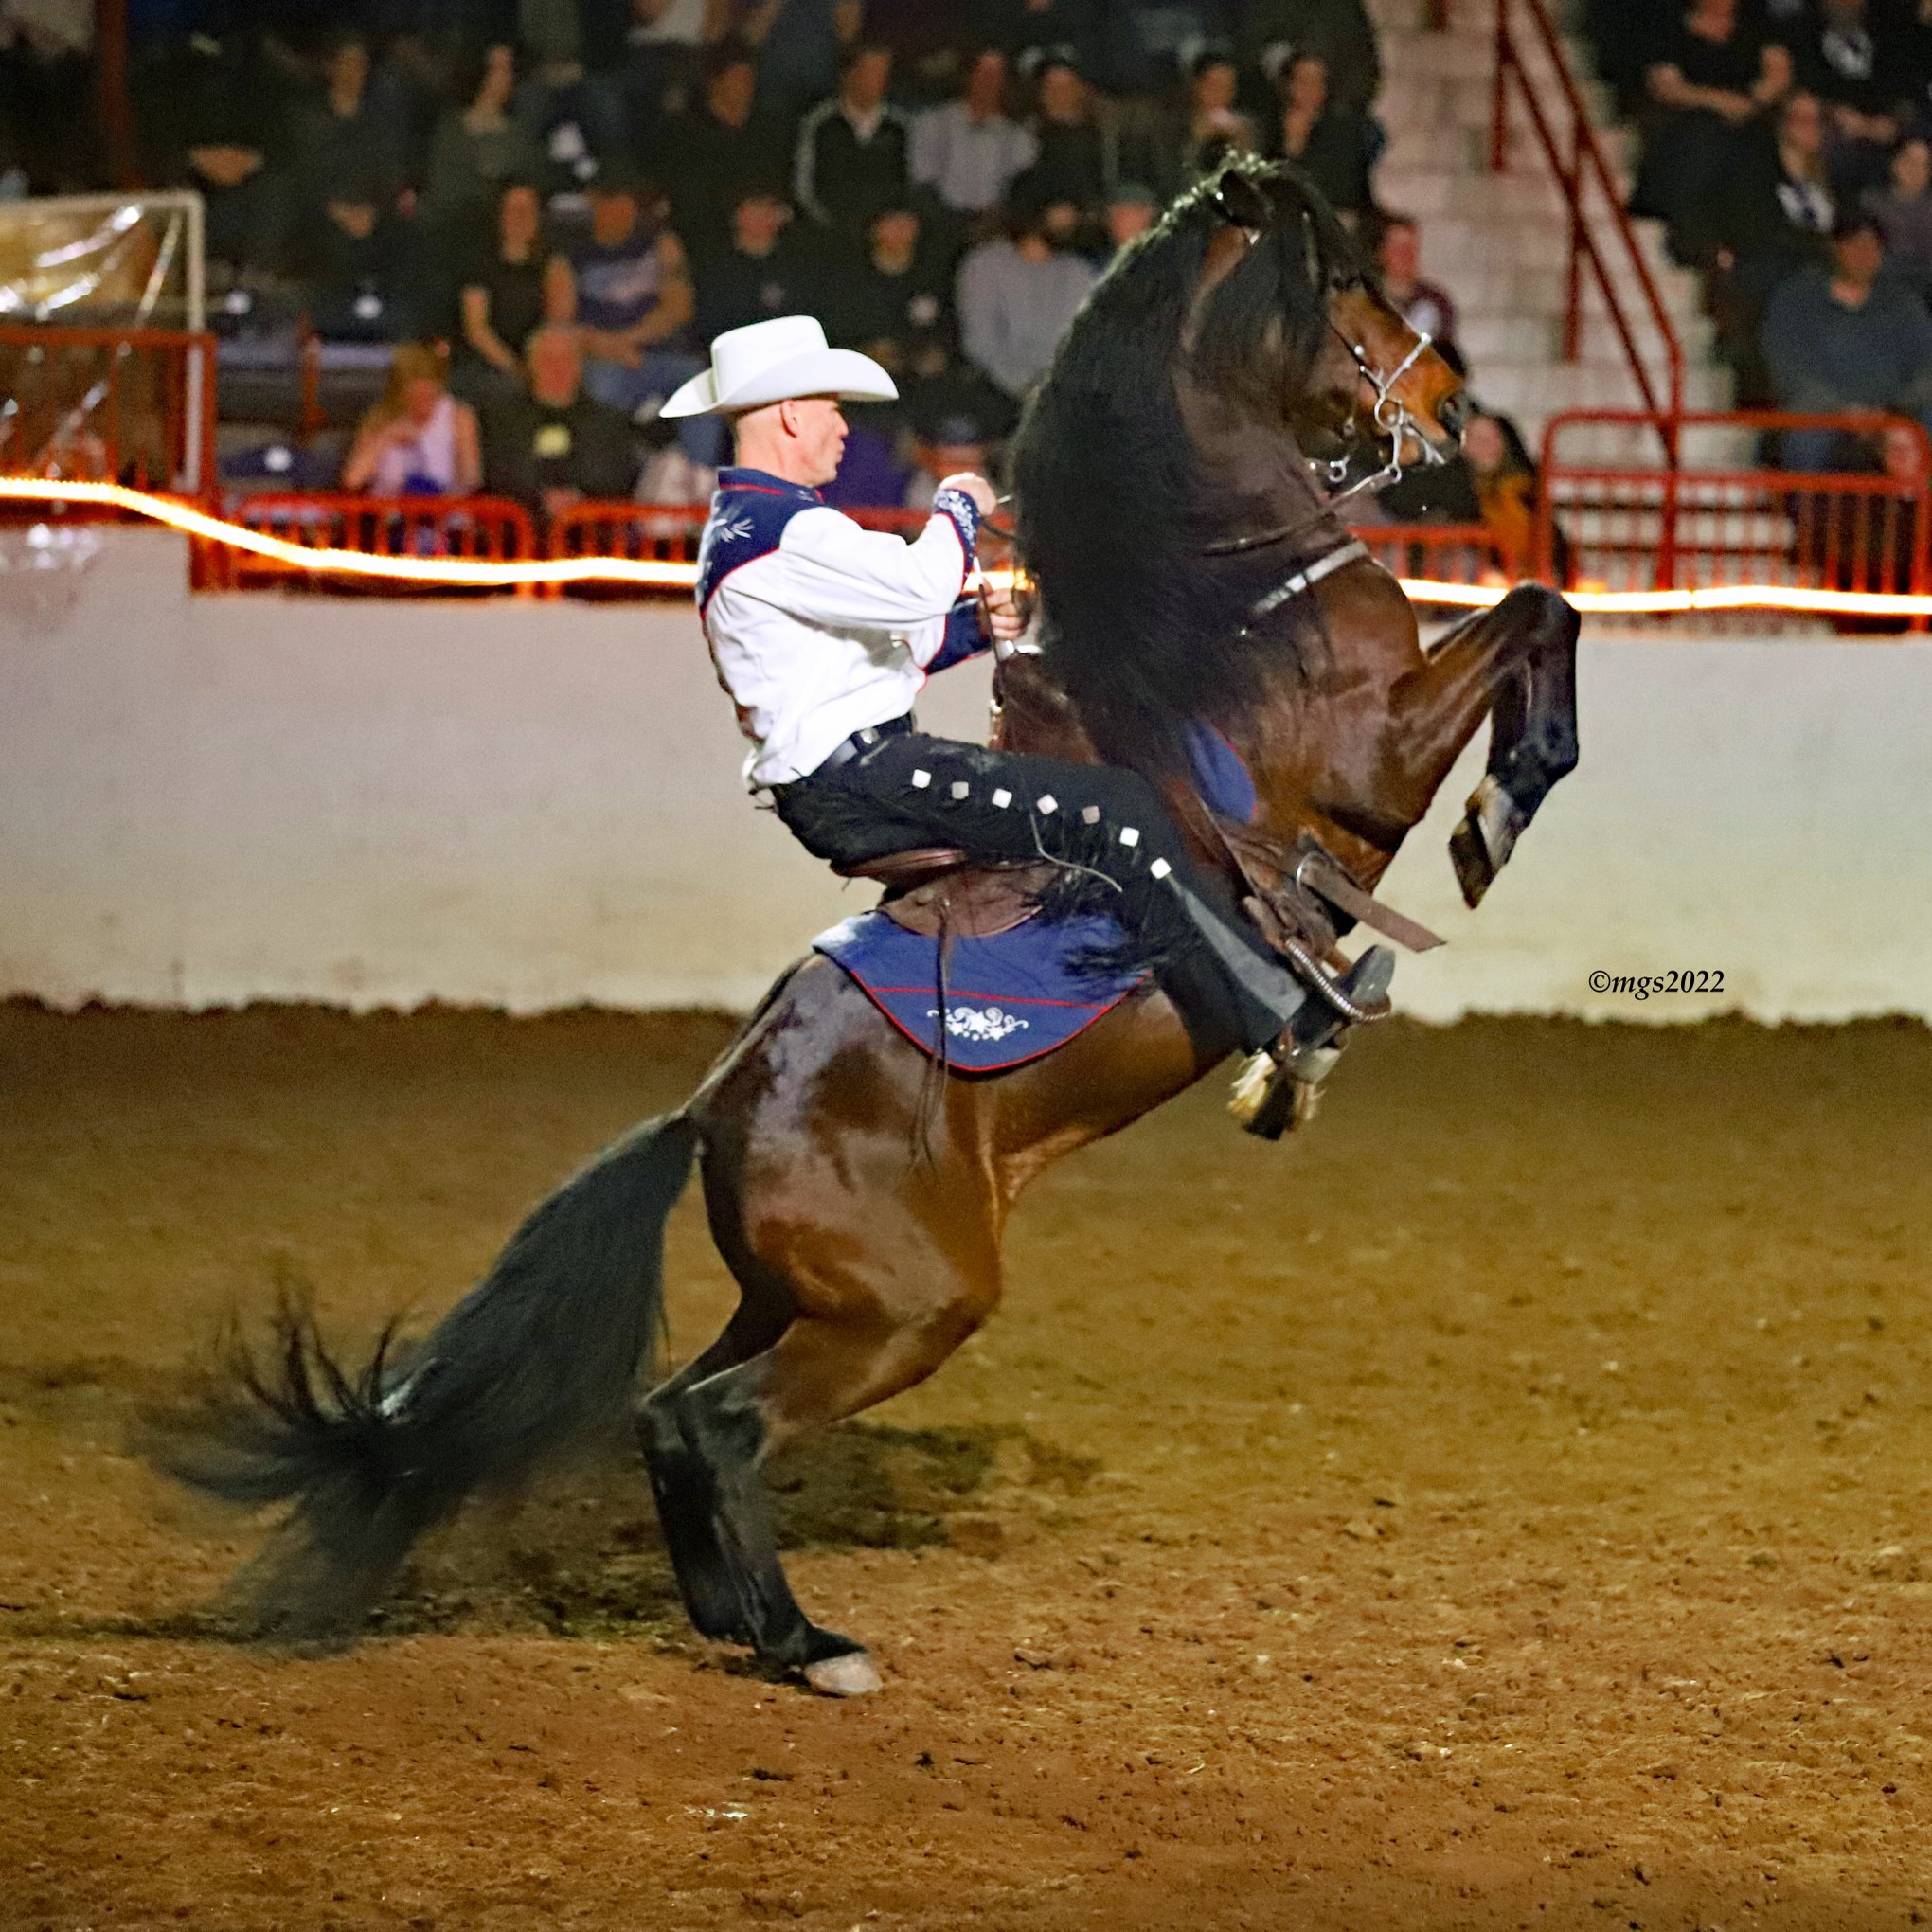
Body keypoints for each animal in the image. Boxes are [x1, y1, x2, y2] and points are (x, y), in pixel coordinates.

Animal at [158, 173, 1576, 1700]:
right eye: (1353, 276)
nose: (1449, 404)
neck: (1230, 605)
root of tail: (711, 1108)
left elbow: (1532, 612)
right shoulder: (1372, 758)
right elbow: (1534, 613)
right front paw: (1501, 808)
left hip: (800, 1302)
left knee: (670, 1415)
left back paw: (749, 1627)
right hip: (907, 1310)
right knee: (720, 1423)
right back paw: (809, 1641)